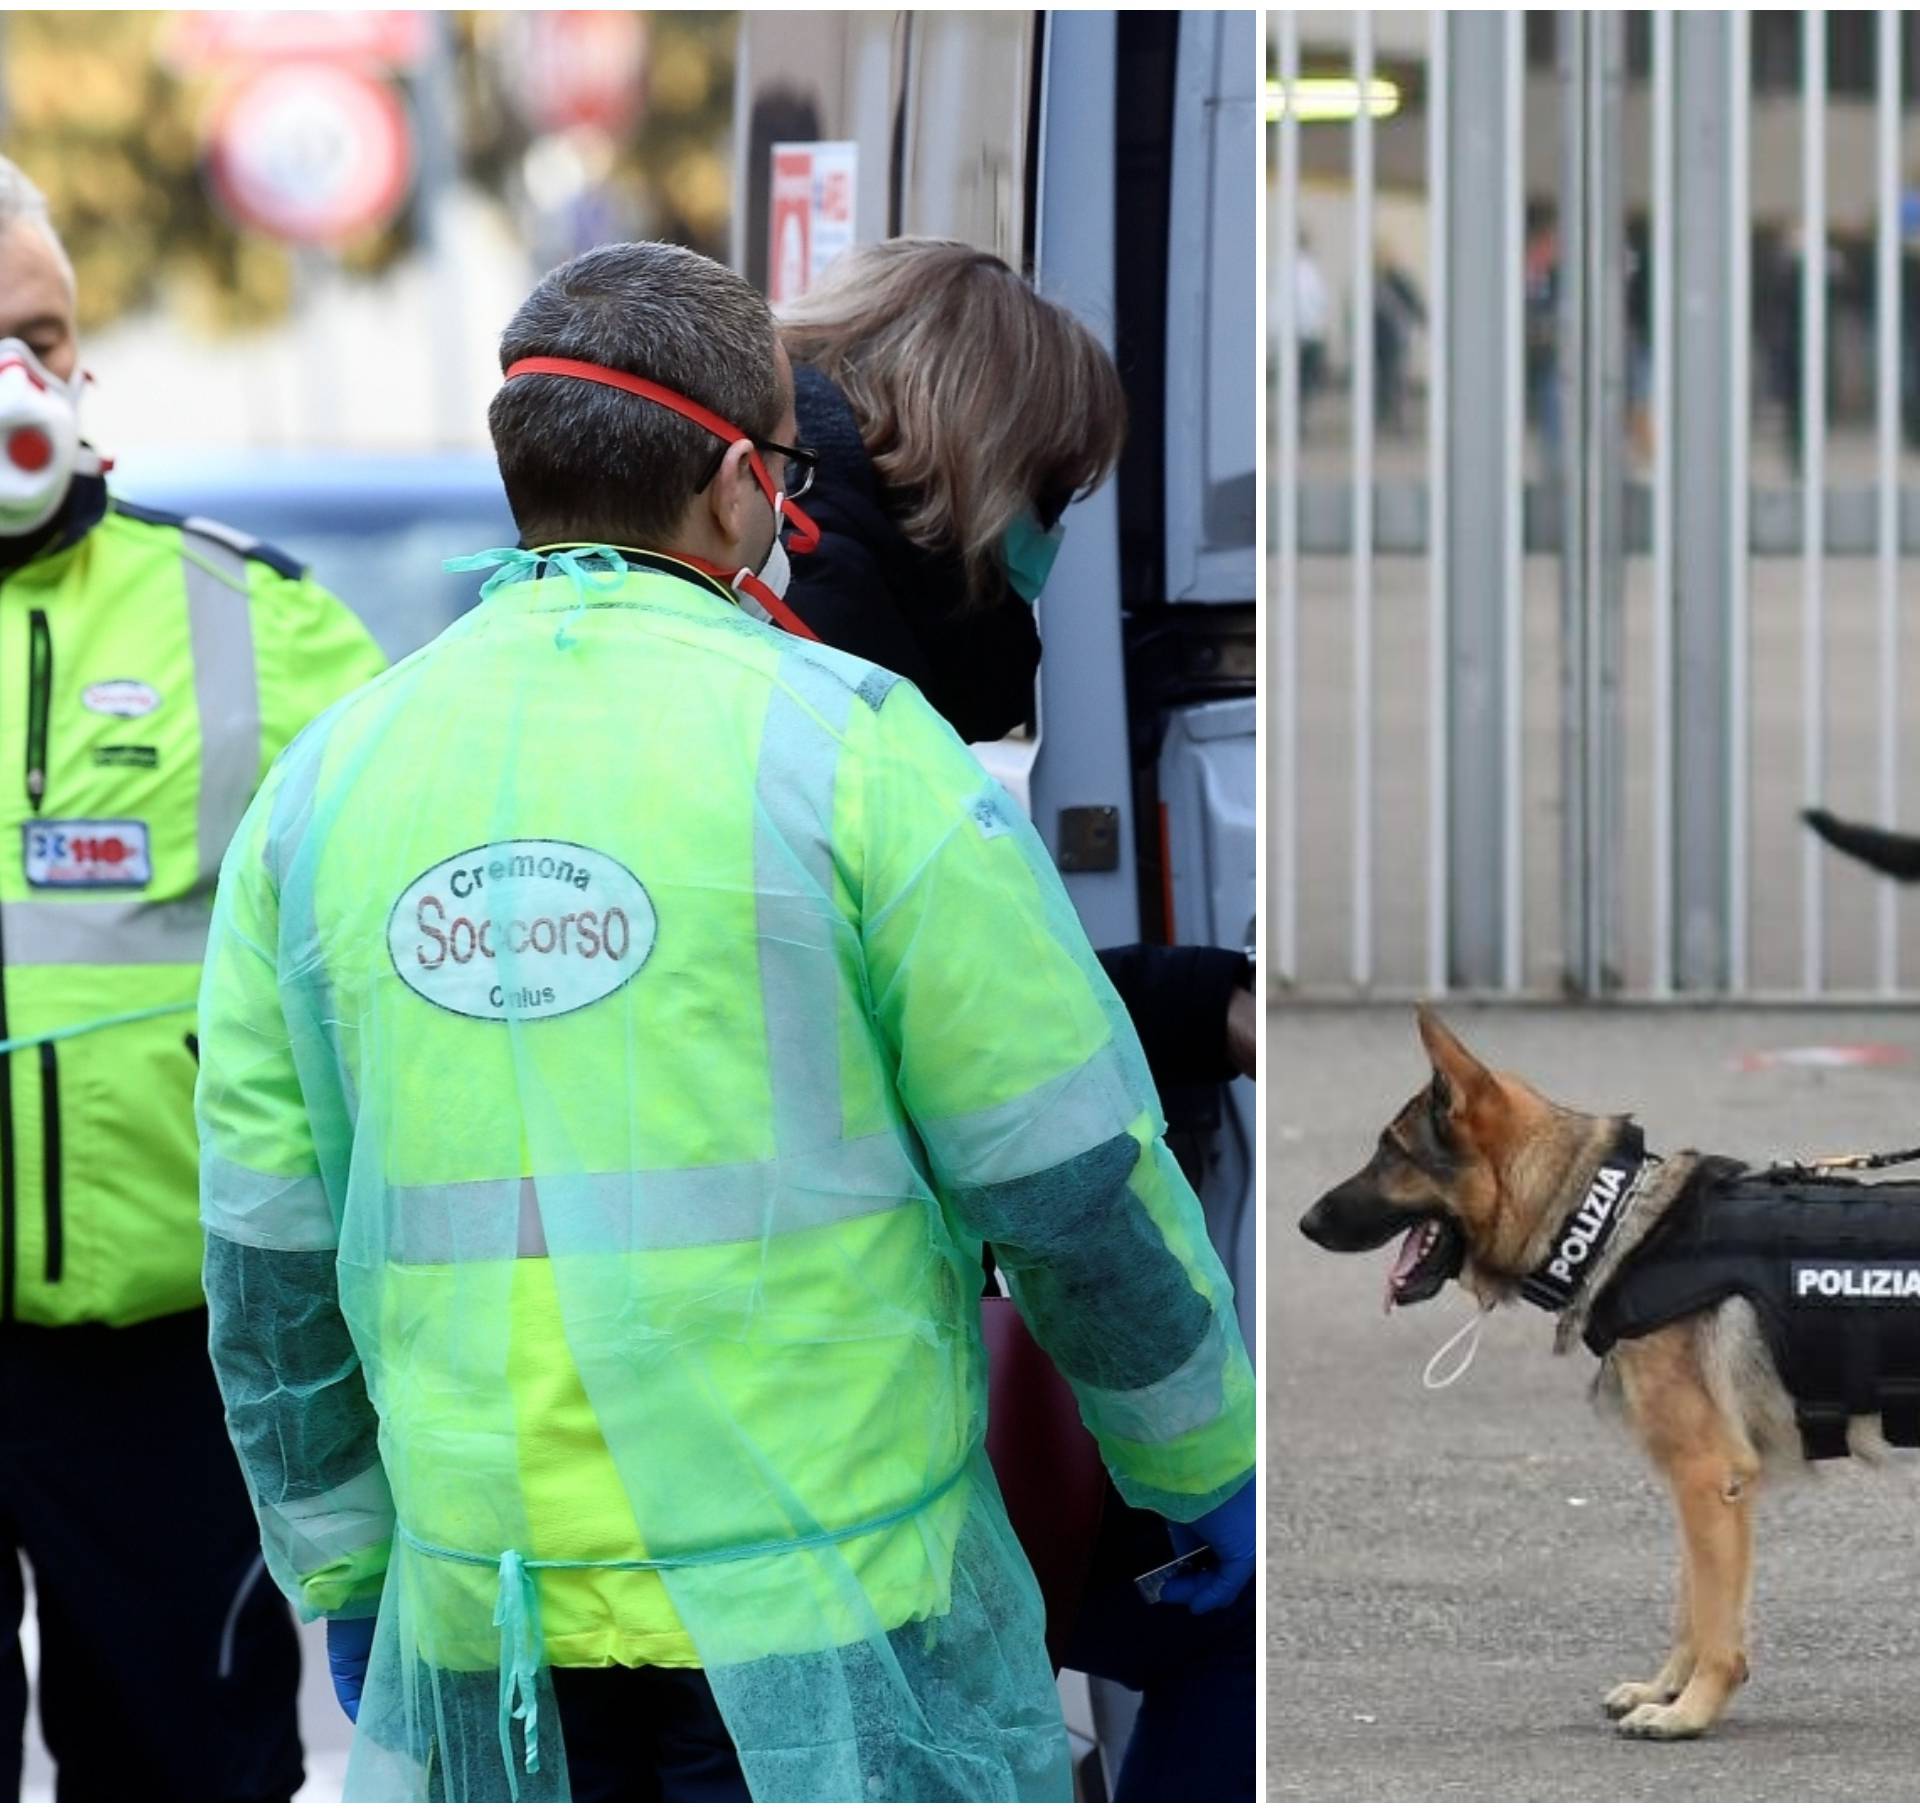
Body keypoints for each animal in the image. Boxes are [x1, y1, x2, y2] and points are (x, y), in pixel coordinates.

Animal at [1297, 1006, 1820, 1743]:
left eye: (1391, 1151)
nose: (1303, 1221)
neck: (1606, 1226)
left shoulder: (1707, 1475)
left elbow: (1715, 1619)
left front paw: (1688, 1712)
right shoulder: (1703, 1484)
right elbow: (1691, 1600)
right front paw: (1666, 1689)